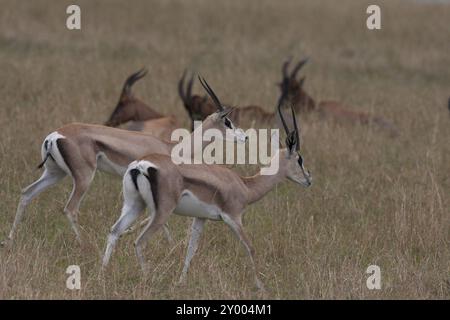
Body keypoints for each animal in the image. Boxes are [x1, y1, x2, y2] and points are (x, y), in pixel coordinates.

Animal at [0, 78, 246, 248]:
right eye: (227, 121)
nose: (244, 137)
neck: (172, 147)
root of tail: (54, 136)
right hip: (84, 177)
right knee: (70, 209)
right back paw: (85, 245)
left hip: (55, 173)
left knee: (26, 193)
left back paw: (10, 240)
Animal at [103, 94, 312, 292]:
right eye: (300, 159)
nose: (309, 179)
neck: (244, 185)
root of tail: (141, 165)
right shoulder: (233, 218)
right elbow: (250, 248)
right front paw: (261, 286)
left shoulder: (200, 218)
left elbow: (191, 250)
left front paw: (181, 282)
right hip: (161, 213)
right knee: (139, 241)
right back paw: (148, 278)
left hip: (134, 206)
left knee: (114, 231)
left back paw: (102, 273)